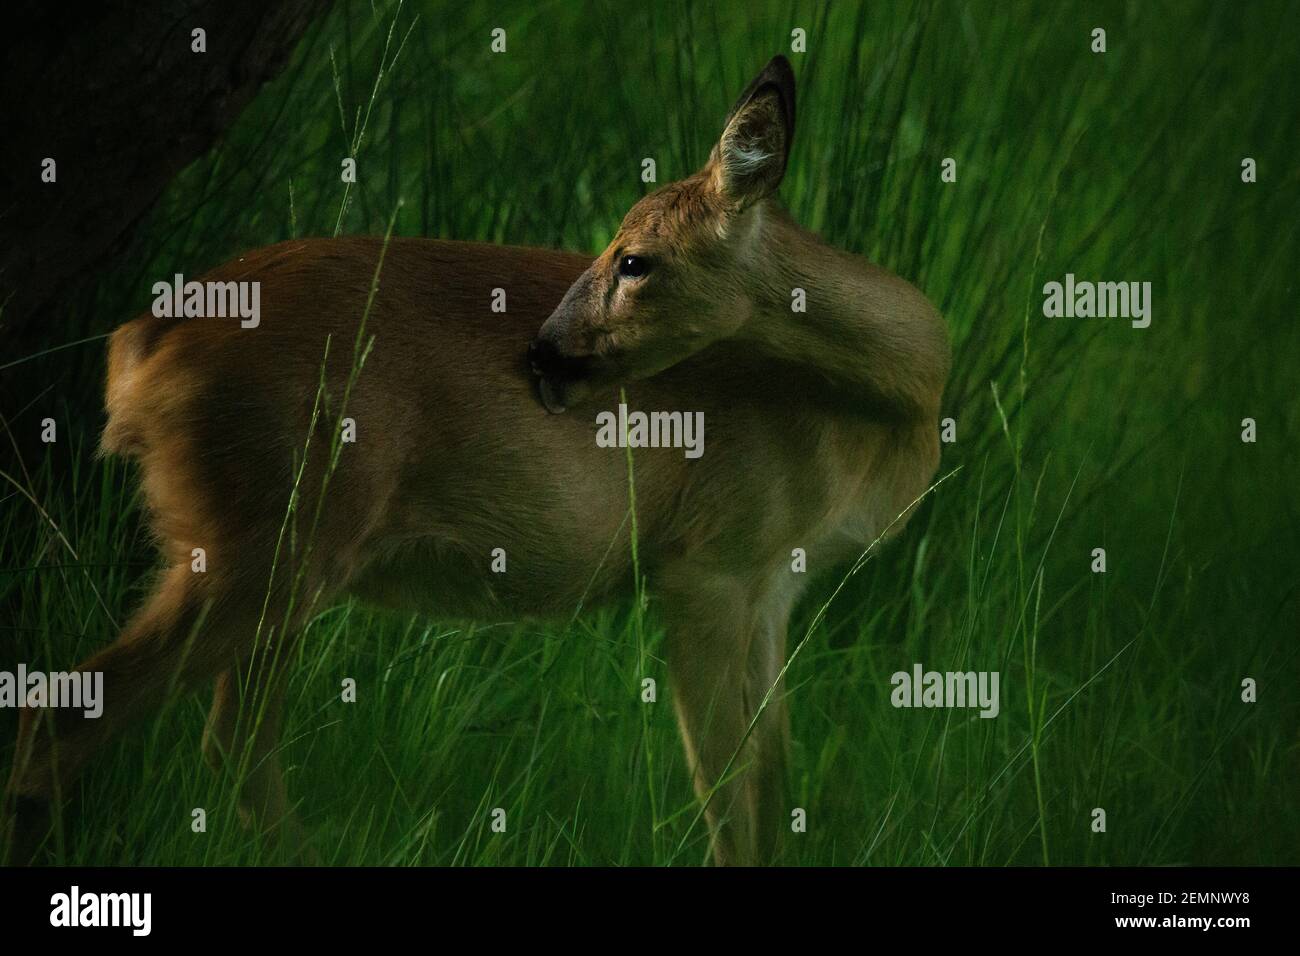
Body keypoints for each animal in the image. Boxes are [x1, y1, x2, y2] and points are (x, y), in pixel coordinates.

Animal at [5, 55, 951, 868]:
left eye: (635, 259)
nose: (541, 352)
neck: (885, 412)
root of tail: (141, 345)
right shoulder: (707, 566)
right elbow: (730, 794)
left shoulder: (774, 584)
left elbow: (774, 785)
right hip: (264, 541)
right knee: (69, 711)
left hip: (279, 554)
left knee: (231, 746)